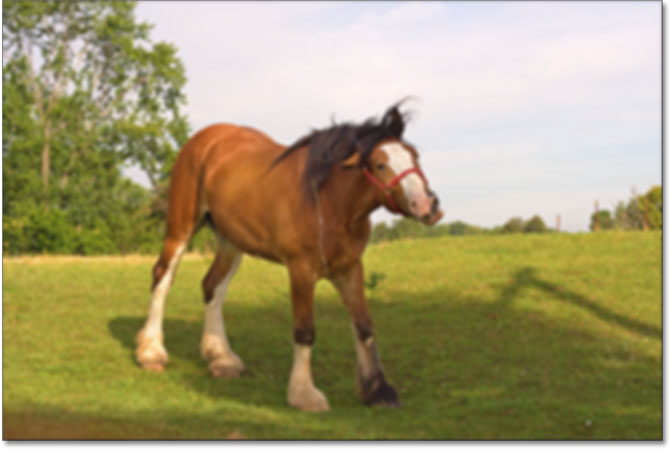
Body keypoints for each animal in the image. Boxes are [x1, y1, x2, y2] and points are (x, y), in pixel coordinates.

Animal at [134, 102, 444, 412]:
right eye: (380, 164)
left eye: (414, 155)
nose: (428, 205)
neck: (327, 201)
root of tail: (205, 139)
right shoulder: (301, 269)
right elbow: (305, 331)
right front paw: (304, 394)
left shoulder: (350, 268)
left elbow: (364, 326)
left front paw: (377, 390)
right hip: (181, 227)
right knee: (162, 277)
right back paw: (152, 352)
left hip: (230, 241)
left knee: (212, 286)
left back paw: (221, 358)